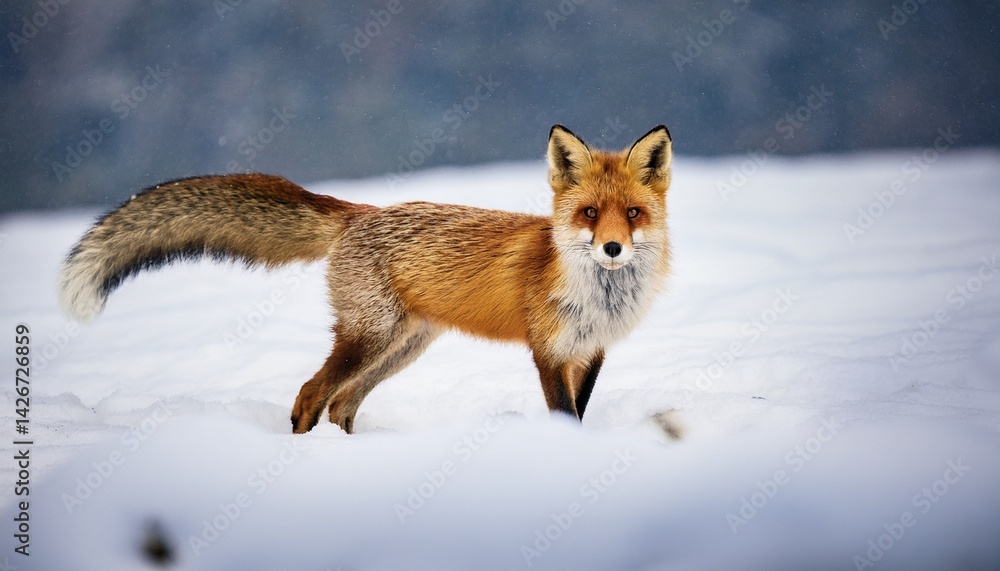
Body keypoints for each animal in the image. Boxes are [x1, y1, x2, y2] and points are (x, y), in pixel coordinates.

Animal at [58, 124, 673, 434]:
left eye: (632, 214)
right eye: (589, 213)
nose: (612, 248)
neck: (599, 297)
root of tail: (360, 211)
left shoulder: (591, 353)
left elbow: (581, 414)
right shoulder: (547, 351)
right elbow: (564, 417)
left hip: (401, 347)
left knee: (342, 406)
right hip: (370, 339)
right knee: (312, 394)